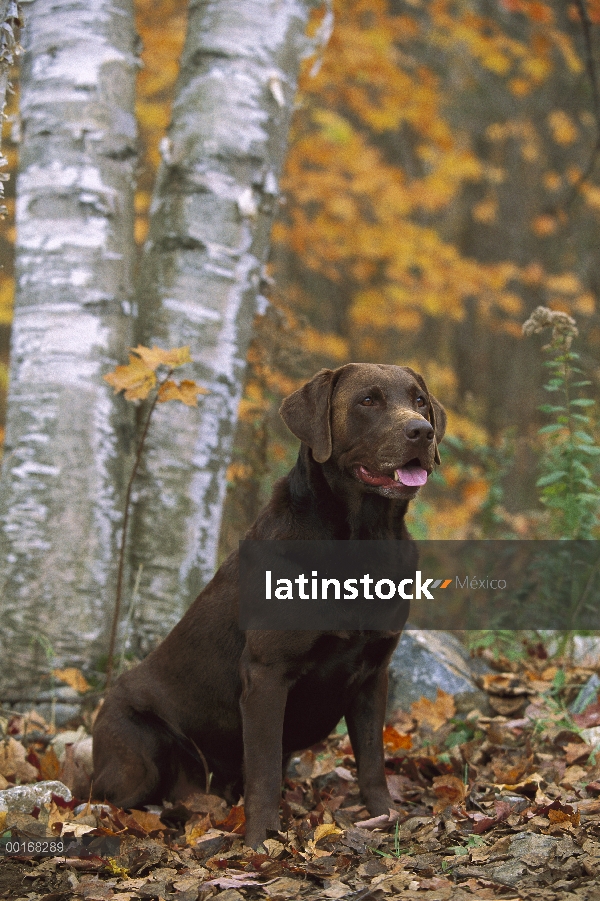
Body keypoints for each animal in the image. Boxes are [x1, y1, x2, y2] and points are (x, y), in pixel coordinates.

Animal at [91, 362, 442, 848]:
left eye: (420, 401)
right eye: (368, 401)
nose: (422, 431)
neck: (364, 539)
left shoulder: (375, 673)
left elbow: (372, 762)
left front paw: (385, 817)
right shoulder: (266, 675)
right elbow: (263, 773)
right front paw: (262, 842)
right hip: (138, 759)